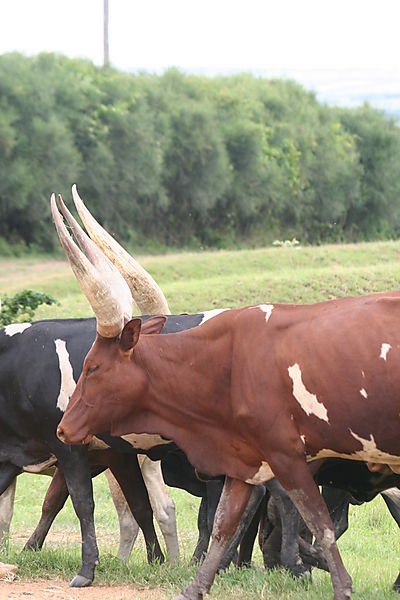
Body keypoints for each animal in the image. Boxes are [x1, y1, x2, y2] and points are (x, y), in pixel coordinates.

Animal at [52, 191, 400, 600]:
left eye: (92, 367)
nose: (62, 429)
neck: (226, 359)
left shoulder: (288, 458)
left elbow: (320, 524)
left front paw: (339, 585)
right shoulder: (243, 459)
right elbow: (223, 524)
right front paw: (195, 587)